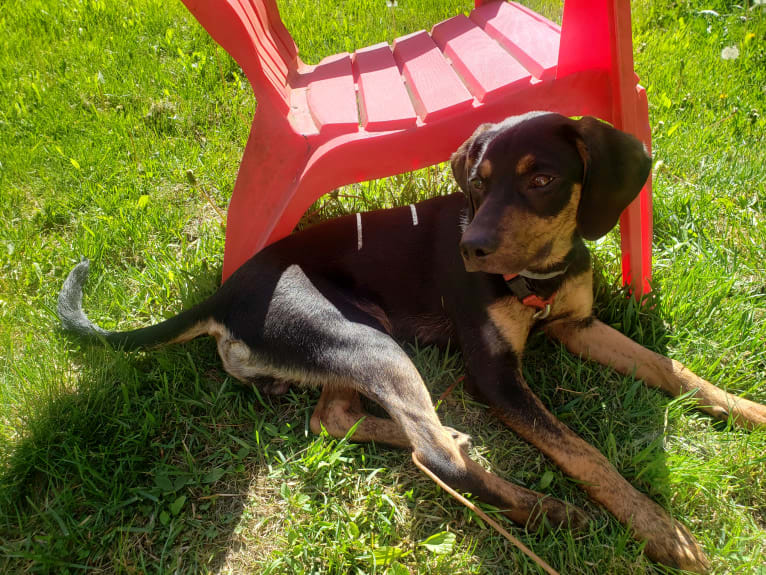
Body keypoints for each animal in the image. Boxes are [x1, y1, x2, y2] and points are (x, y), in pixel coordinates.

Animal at [60, 111, 766, 572]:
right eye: (477, 181)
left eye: (541, 180)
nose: (470, 248)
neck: (536, 274)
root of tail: (221, 295)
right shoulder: (495, 377)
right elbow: (585, 453)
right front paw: (662, 531)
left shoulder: (579, 326)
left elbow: (673, 371)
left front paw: (749, 410)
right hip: (365, 337)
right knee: (431, 454)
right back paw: (543, 509)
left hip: (348, 347)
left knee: (335, 419)